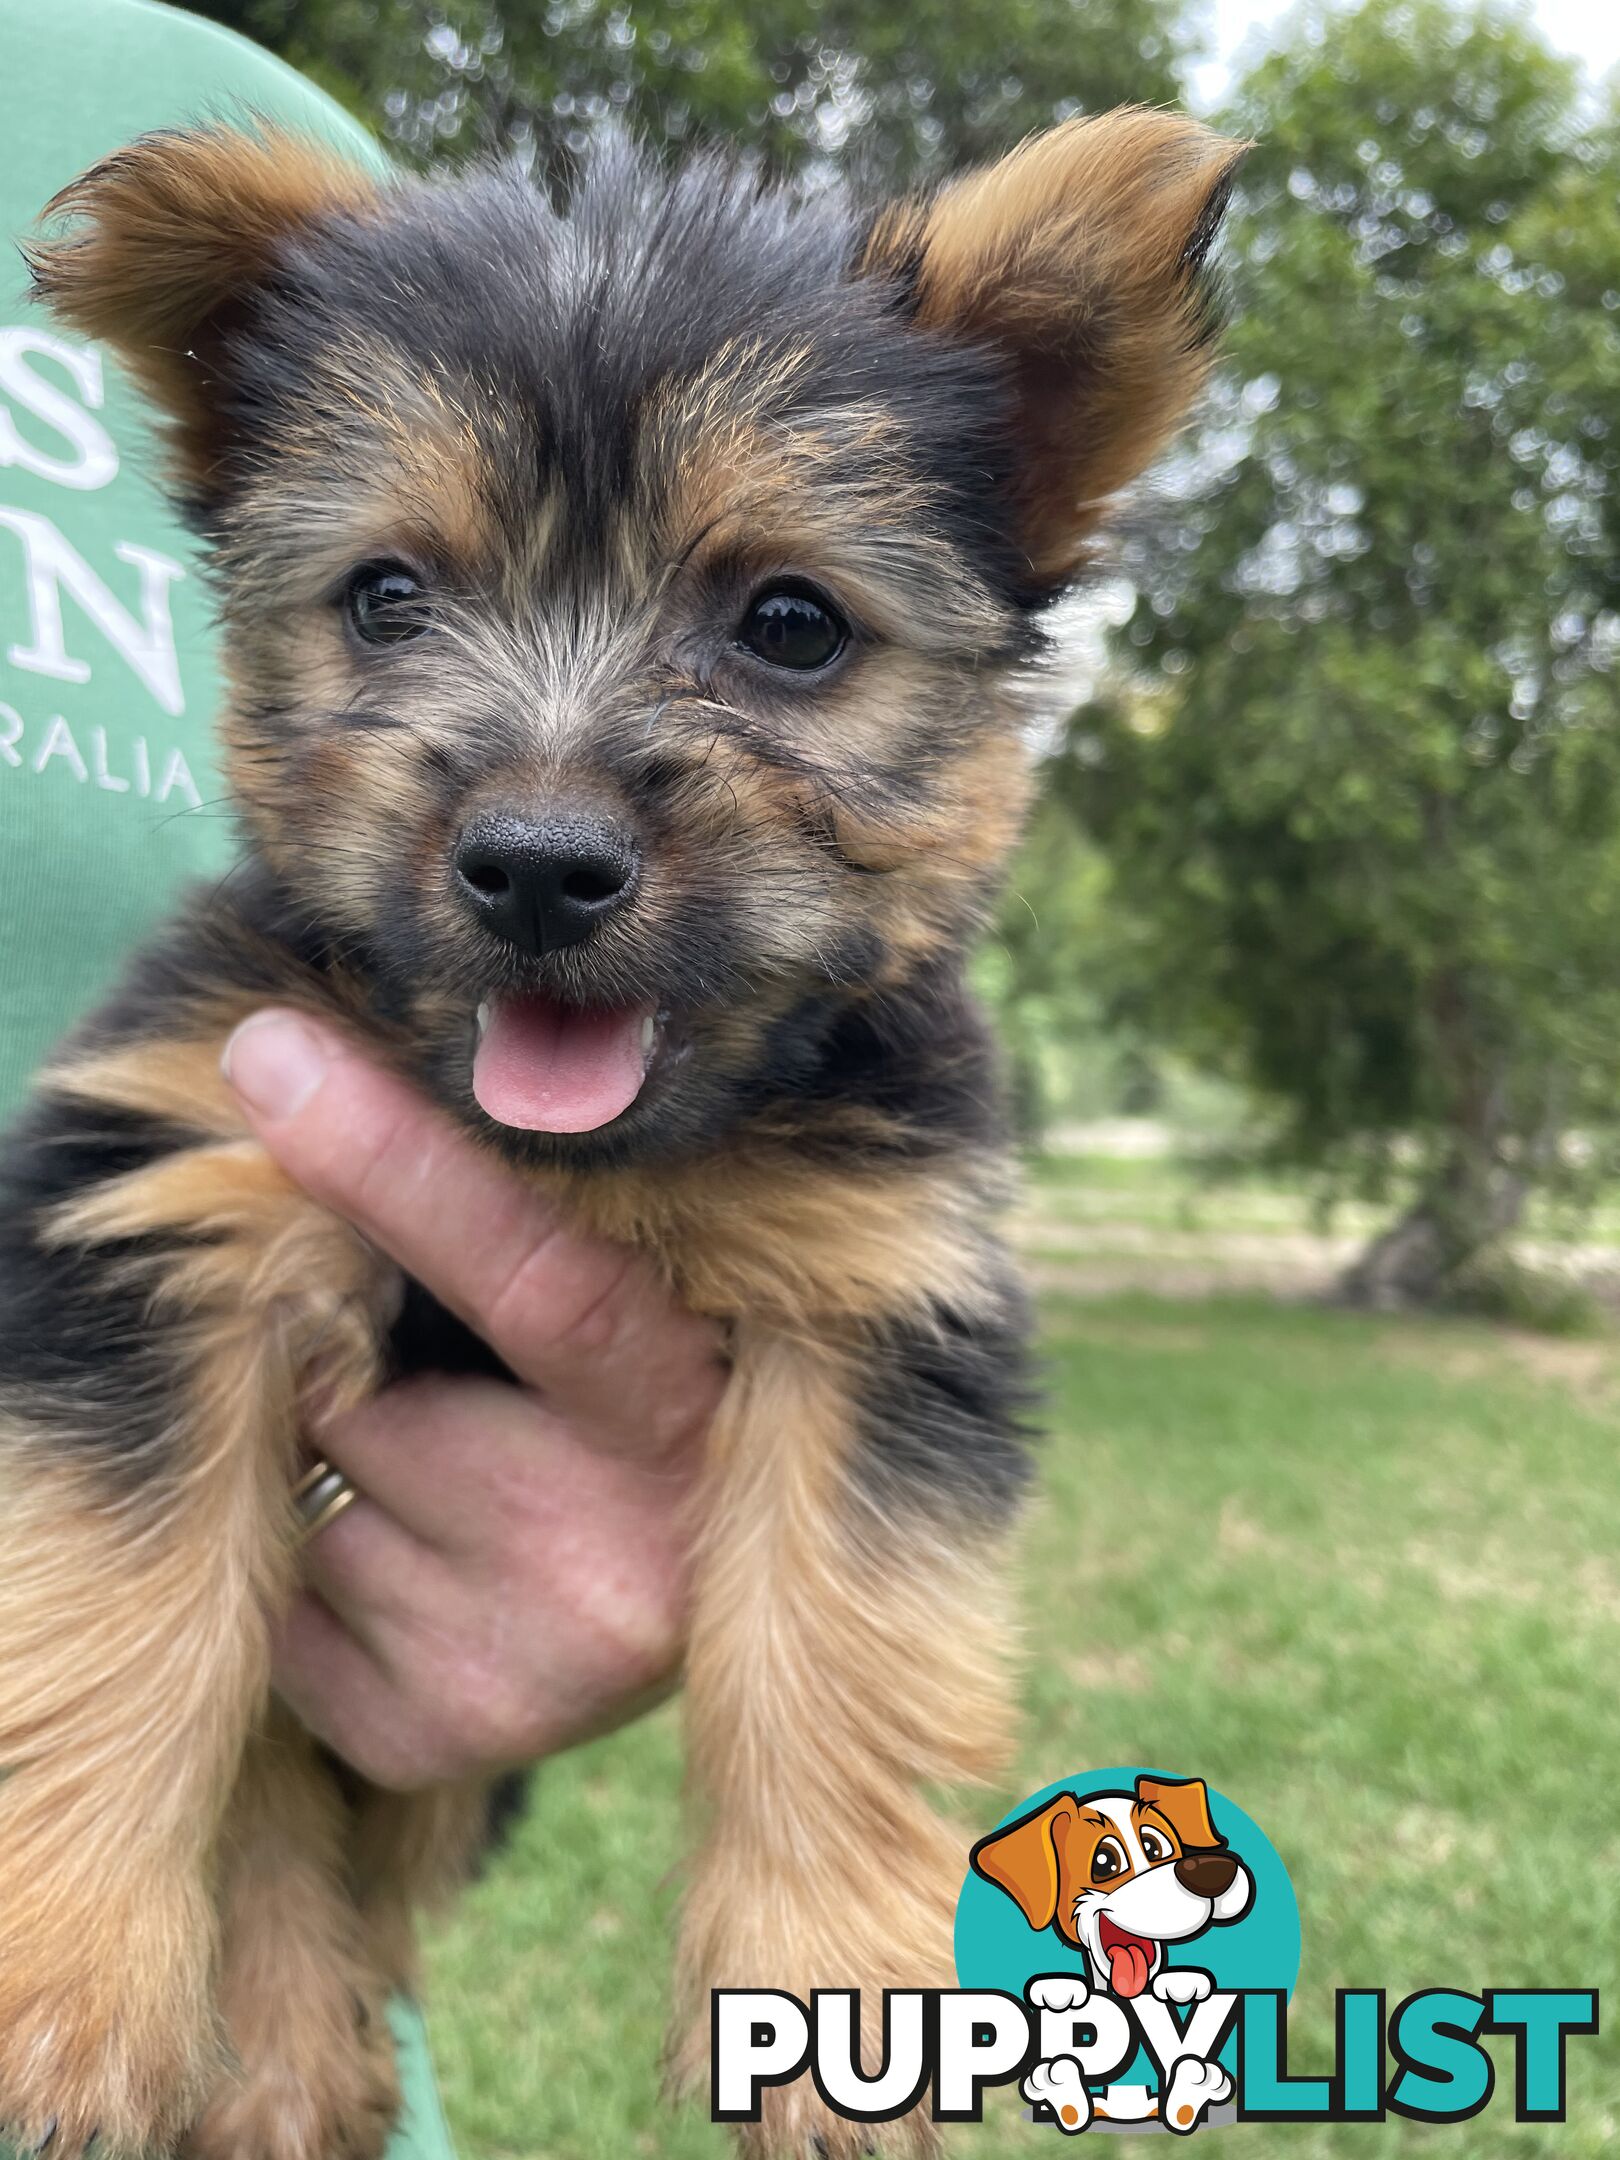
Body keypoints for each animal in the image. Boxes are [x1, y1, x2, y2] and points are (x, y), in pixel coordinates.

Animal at [3, 118, 1244, 2160]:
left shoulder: (875, 1288)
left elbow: (838, 1637)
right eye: (388, 598)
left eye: (792, 625)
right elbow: (120, 1617)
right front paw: (60, 1997)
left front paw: (832, 2005)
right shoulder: (178, 1196)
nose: (536, 864)